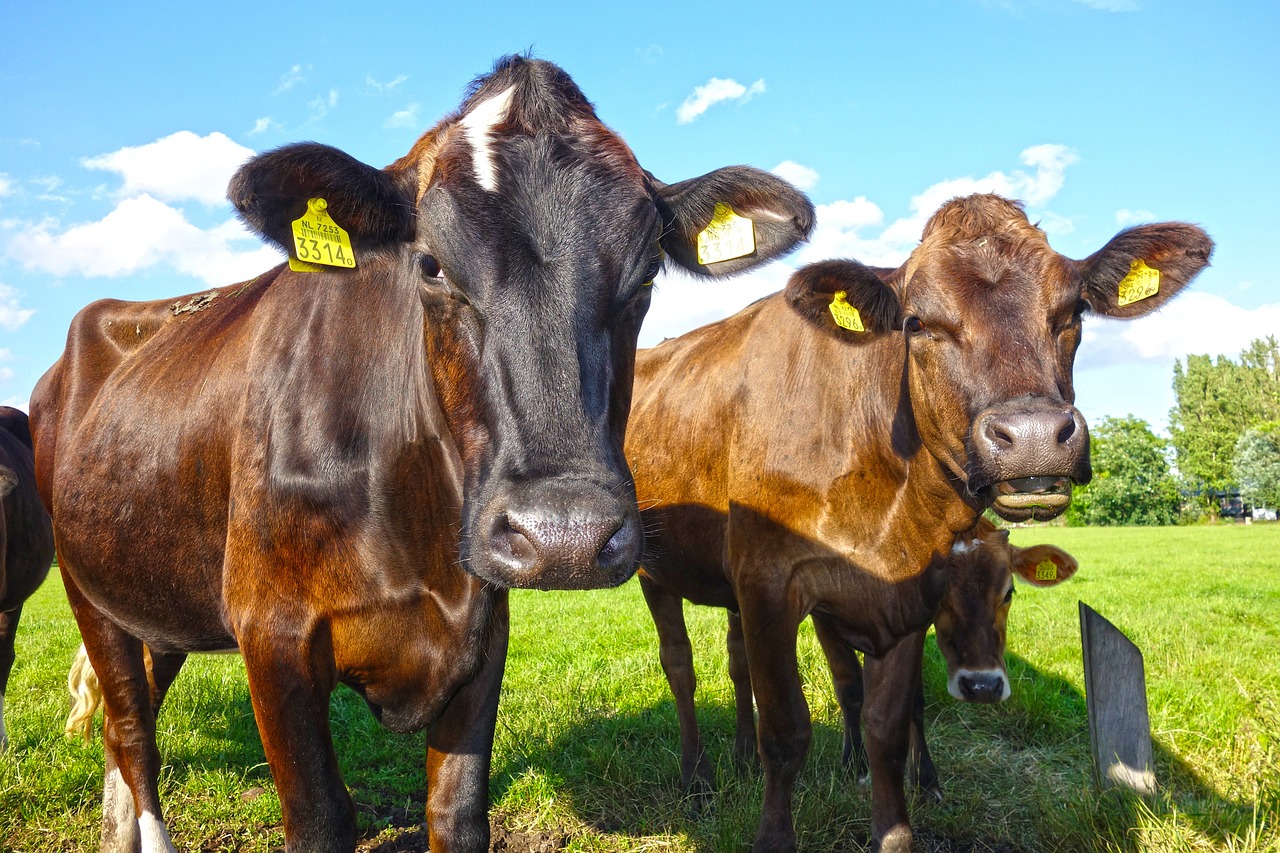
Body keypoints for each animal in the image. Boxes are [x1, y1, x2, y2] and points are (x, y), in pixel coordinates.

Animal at [35, 54, 814, 850]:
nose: (565, 538)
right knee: (131, 731)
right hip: (86, 588)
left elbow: (457, 811)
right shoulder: (272, 634)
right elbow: (319, 815)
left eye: (649, 271)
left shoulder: (482, 631)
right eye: (432, 265)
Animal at [629, 192, 1208, 850]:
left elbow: (888, 727)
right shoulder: (770, 583)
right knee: (680, 665)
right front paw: (774, 830)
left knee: (735, 661)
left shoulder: (906, 599)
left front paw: (896, 827)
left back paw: (741, 758)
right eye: (917, 323)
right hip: (655, 568)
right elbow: (788, 733)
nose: (1034, 438)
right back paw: (697, 778)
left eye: (1073, 312)